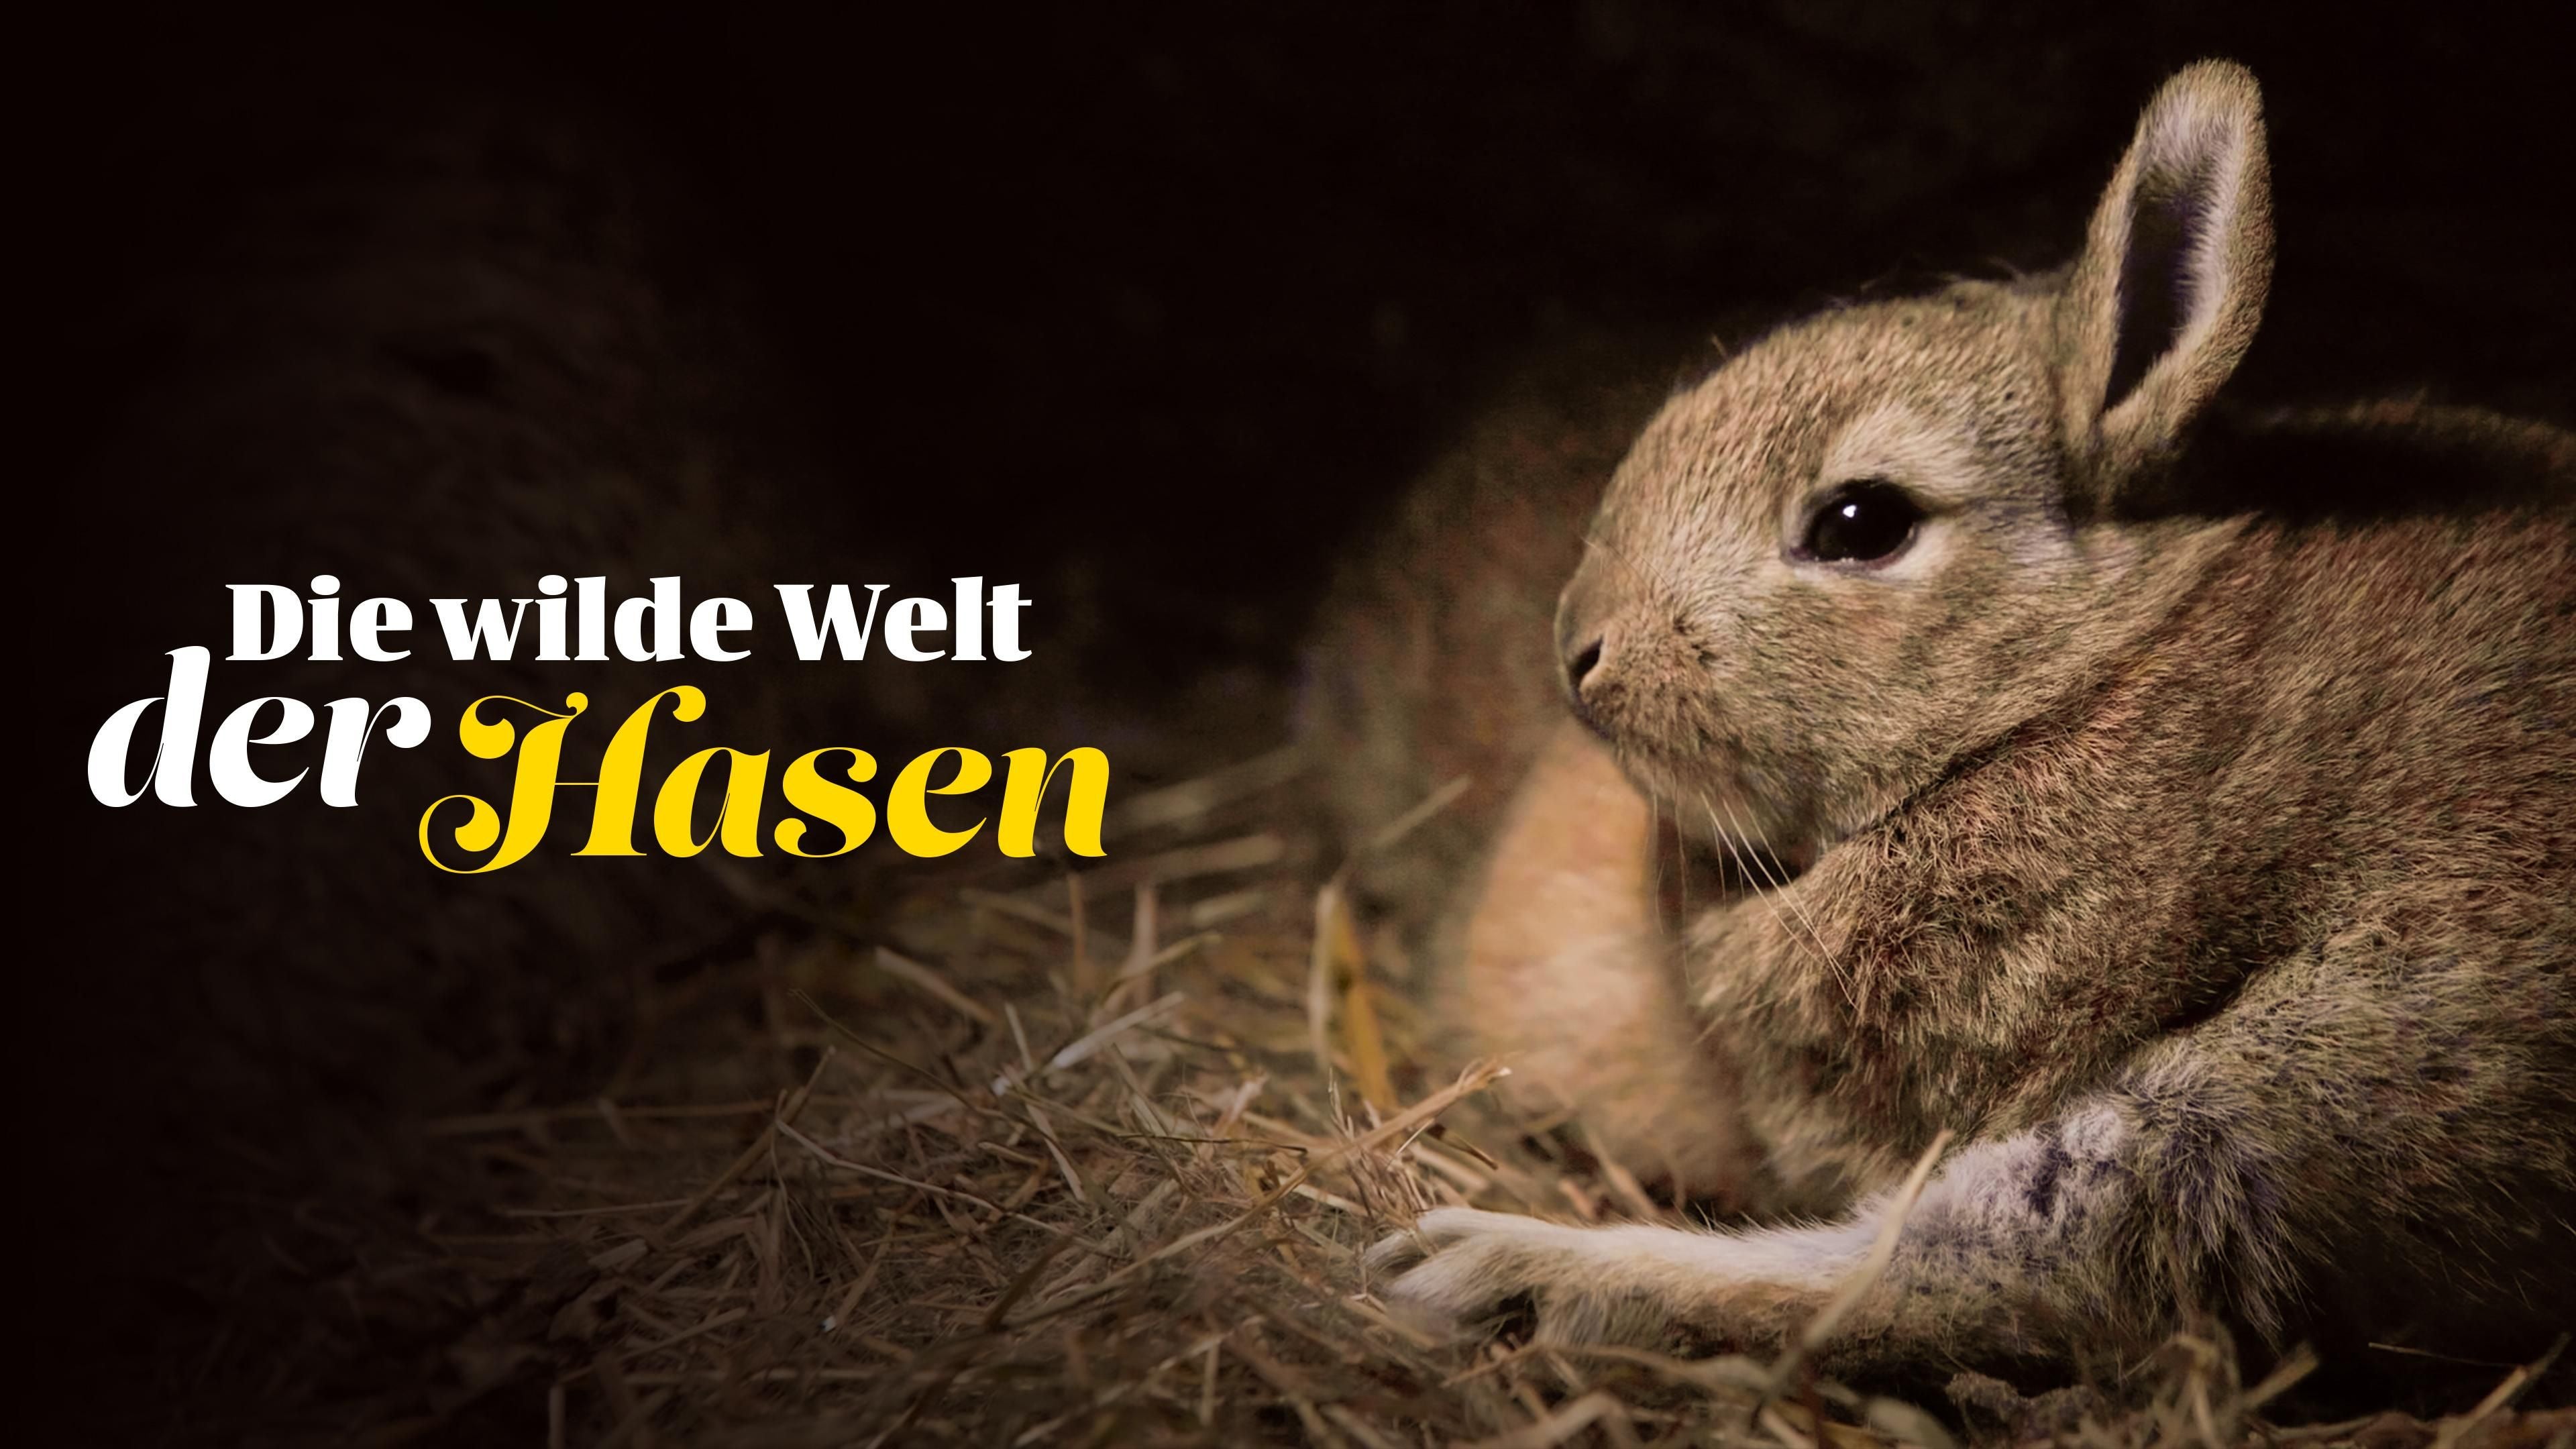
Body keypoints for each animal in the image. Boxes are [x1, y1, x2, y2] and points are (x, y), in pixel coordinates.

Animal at [1339, 60, 2576, 1380]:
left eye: (1861, 524)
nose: (1580, 652)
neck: (2064, 684)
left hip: (2331, 1061)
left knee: (2038, 1266)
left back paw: (1491, 1269)